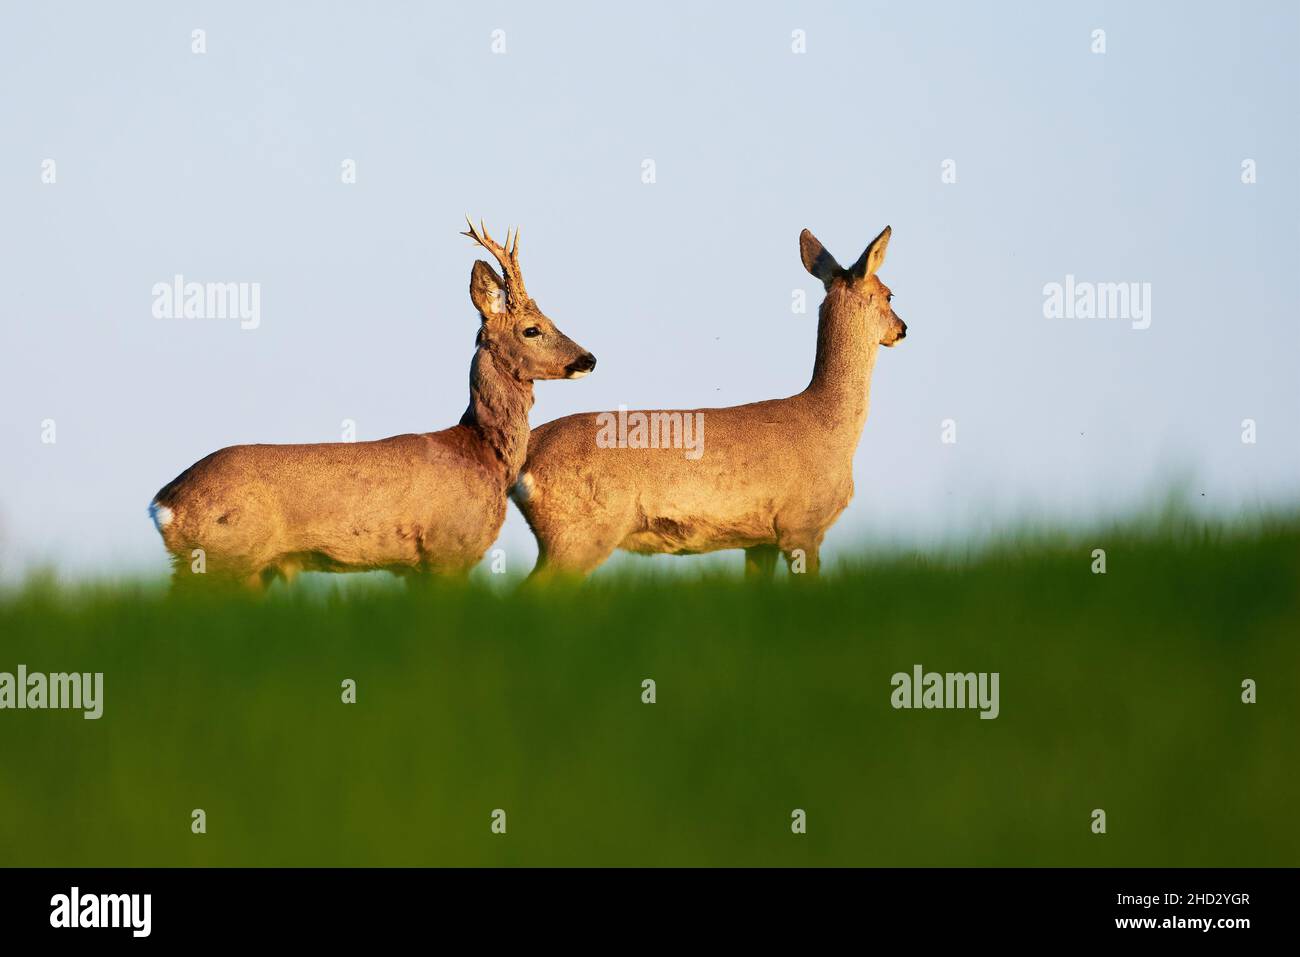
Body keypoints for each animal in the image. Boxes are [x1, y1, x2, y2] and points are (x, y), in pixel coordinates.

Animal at [149, 220, 596, 589]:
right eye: (532, 329)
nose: (588, 359)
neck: (480, 453)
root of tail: (165, 503)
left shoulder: (417, 567)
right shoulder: (446, 548)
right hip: (223, 558)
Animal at [512, 225, 905, 580]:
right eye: (889, 295)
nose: (903, 329)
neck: (829, 424)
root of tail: (527, 452)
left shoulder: (759, 540)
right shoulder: (801, 525)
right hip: (580, 533)